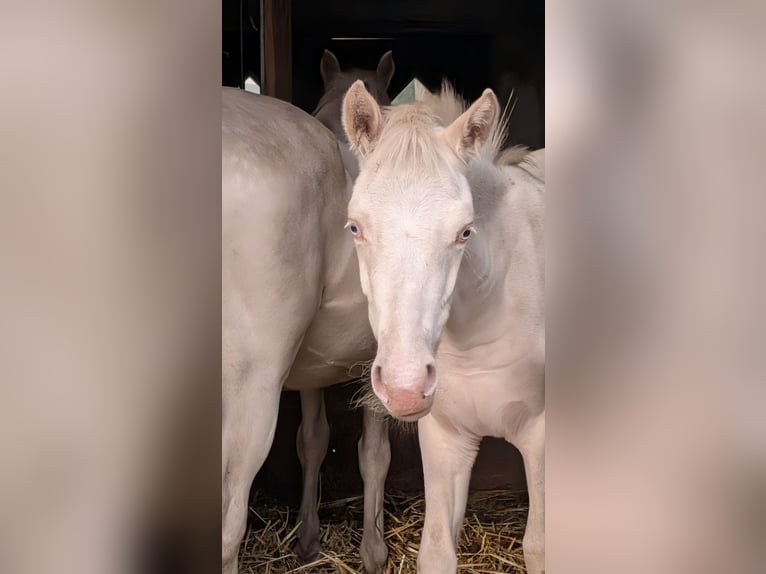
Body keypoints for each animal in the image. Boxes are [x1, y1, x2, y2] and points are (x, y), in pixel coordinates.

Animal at [340, 81, 545, 573]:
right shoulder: (445, 439)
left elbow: (539, 546)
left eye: (464, 232)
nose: (405, 386)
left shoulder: (543, 438)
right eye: (355, 227)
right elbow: (435, 549)